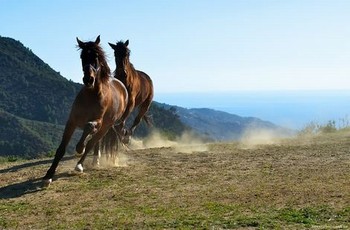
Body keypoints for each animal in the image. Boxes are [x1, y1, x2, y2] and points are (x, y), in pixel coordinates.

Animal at [41, 36, 128, 187]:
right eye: (82, 57)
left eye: (96, 57)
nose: (88, 79)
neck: (90, 95)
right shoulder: (71, 122)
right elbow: (61, 149)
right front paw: (48, 176)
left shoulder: (98, 122)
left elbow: (88, 131)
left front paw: (79, 148)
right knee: (96, 142)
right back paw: (95, 160)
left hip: (106, 126)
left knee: (92, 142)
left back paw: (80, 165)